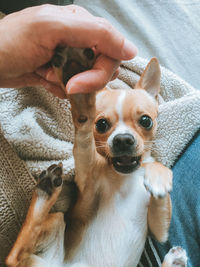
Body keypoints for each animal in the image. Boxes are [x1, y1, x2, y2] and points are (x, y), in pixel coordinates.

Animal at [6, 49, 188, 266]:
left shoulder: (158, 231)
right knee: (14, 255)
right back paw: (45, 191)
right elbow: (84, 138)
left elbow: (158, 180)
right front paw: (80, 96)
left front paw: (158, 177)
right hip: (55, 221)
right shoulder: (86, 178)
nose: (123, 139)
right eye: (101, 124)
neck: (125, 176)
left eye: (146, 121)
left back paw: (175, 260)